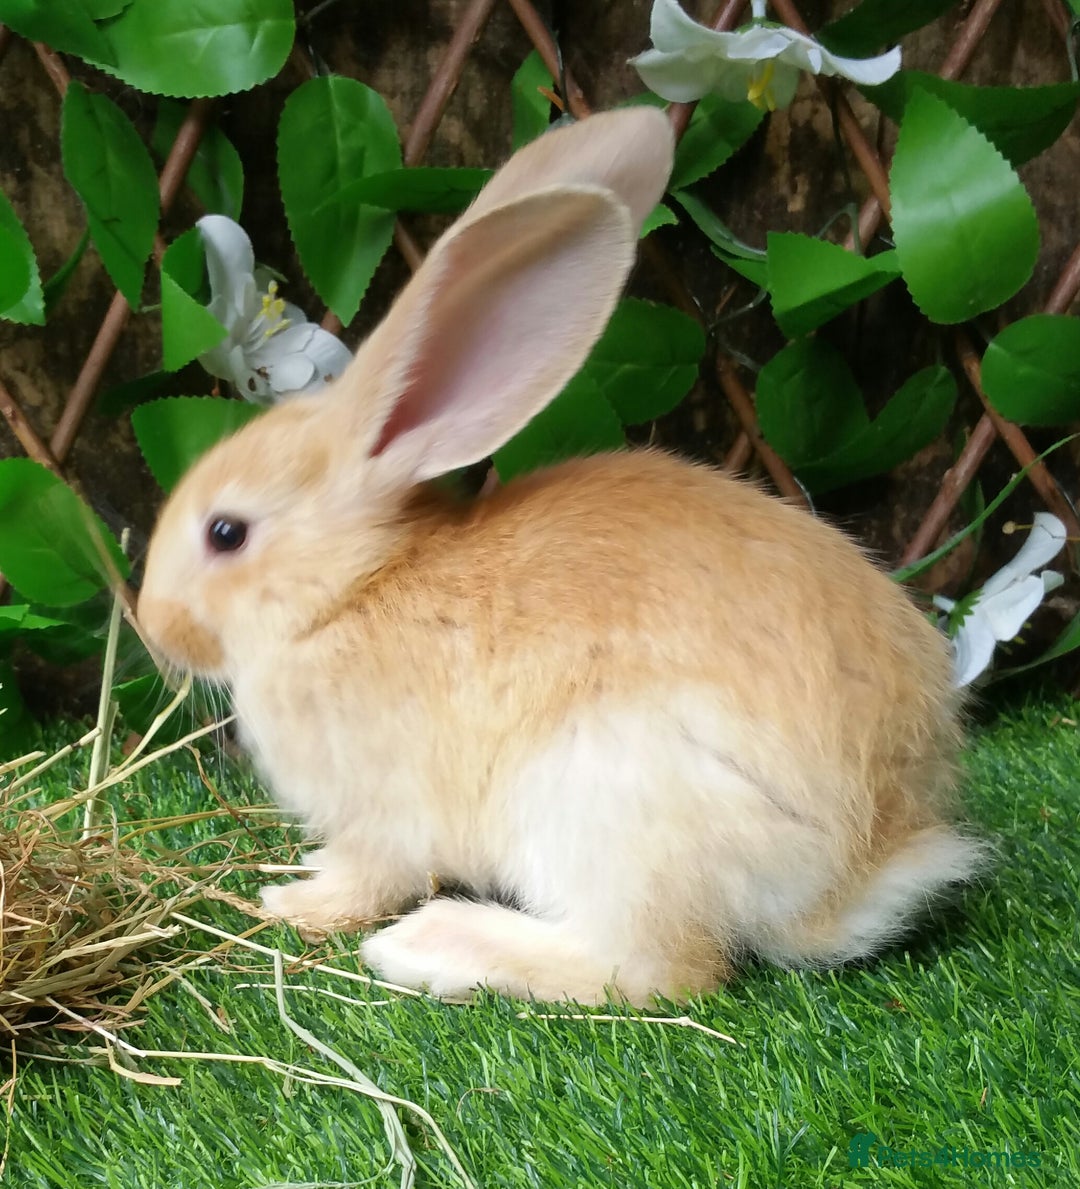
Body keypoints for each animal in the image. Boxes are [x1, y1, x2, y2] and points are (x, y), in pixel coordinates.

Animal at [137, 106, 984, 1006]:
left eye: (226, 533)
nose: (152, 624)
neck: (350, 590)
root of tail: (861, 864)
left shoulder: (389, 816)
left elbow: (370, 875)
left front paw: (294, 900)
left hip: (604, 798)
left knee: (653, 968)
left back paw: (435, 946)